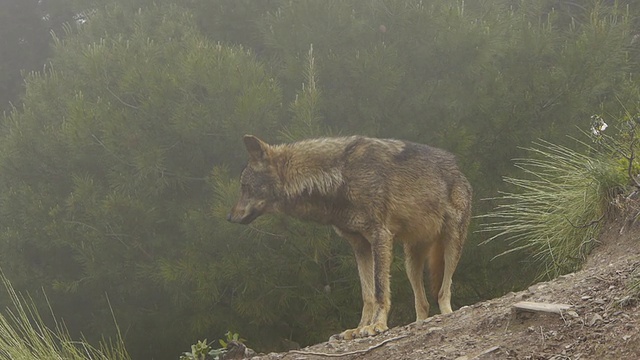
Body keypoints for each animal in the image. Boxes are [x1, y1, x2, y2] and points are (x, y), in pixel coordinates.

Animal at [226, 134, 470, 338]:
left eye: (245, 187)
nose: (229, 217)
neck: (339, 177)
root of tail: (459, 170)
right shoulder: (359, 245)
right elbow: (367, 294)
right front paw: (359, 327)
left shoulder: (380, 236)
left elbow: (380, 290)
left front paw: (377, 325)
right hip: (411, 262)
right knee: (423, 303)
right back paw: (418, 323)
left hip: (452, 247)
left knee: (443, 291)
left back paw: (447, 313)